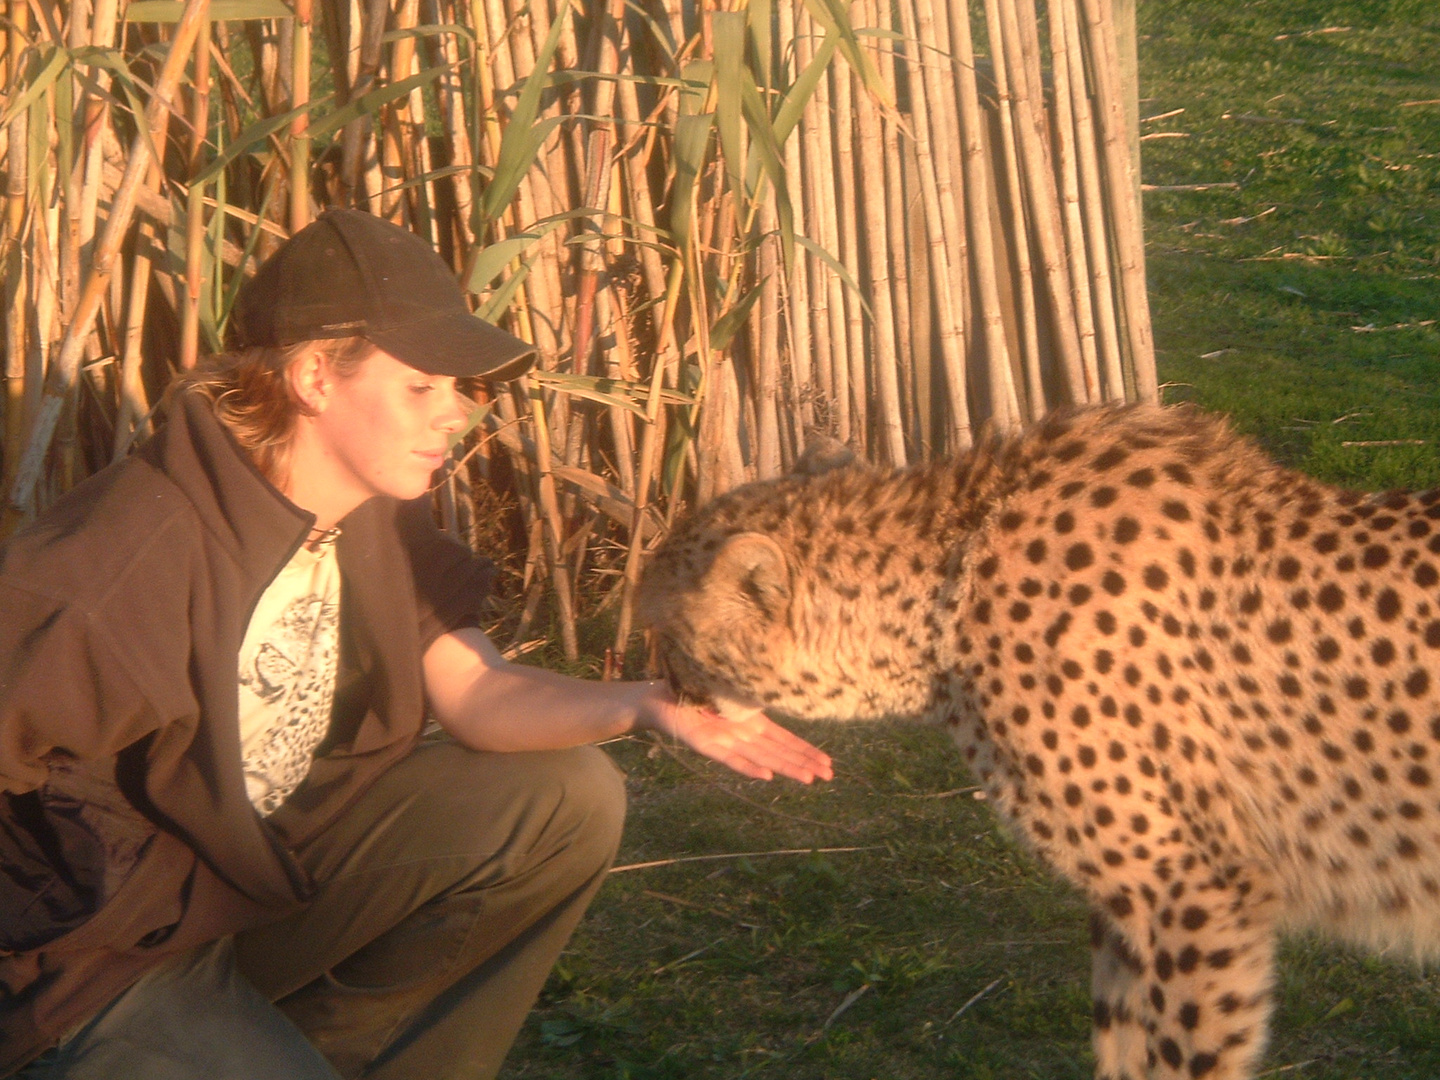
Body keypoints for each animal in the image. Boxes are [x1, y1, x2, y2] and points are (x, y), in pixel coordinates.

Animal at [642, 406, 1440, 1080]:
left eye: (664, 628)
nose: (665, 689)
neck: (948, 584)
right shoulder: (1132, 905)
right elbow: (1120, 1045)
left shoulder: (1197, 888)